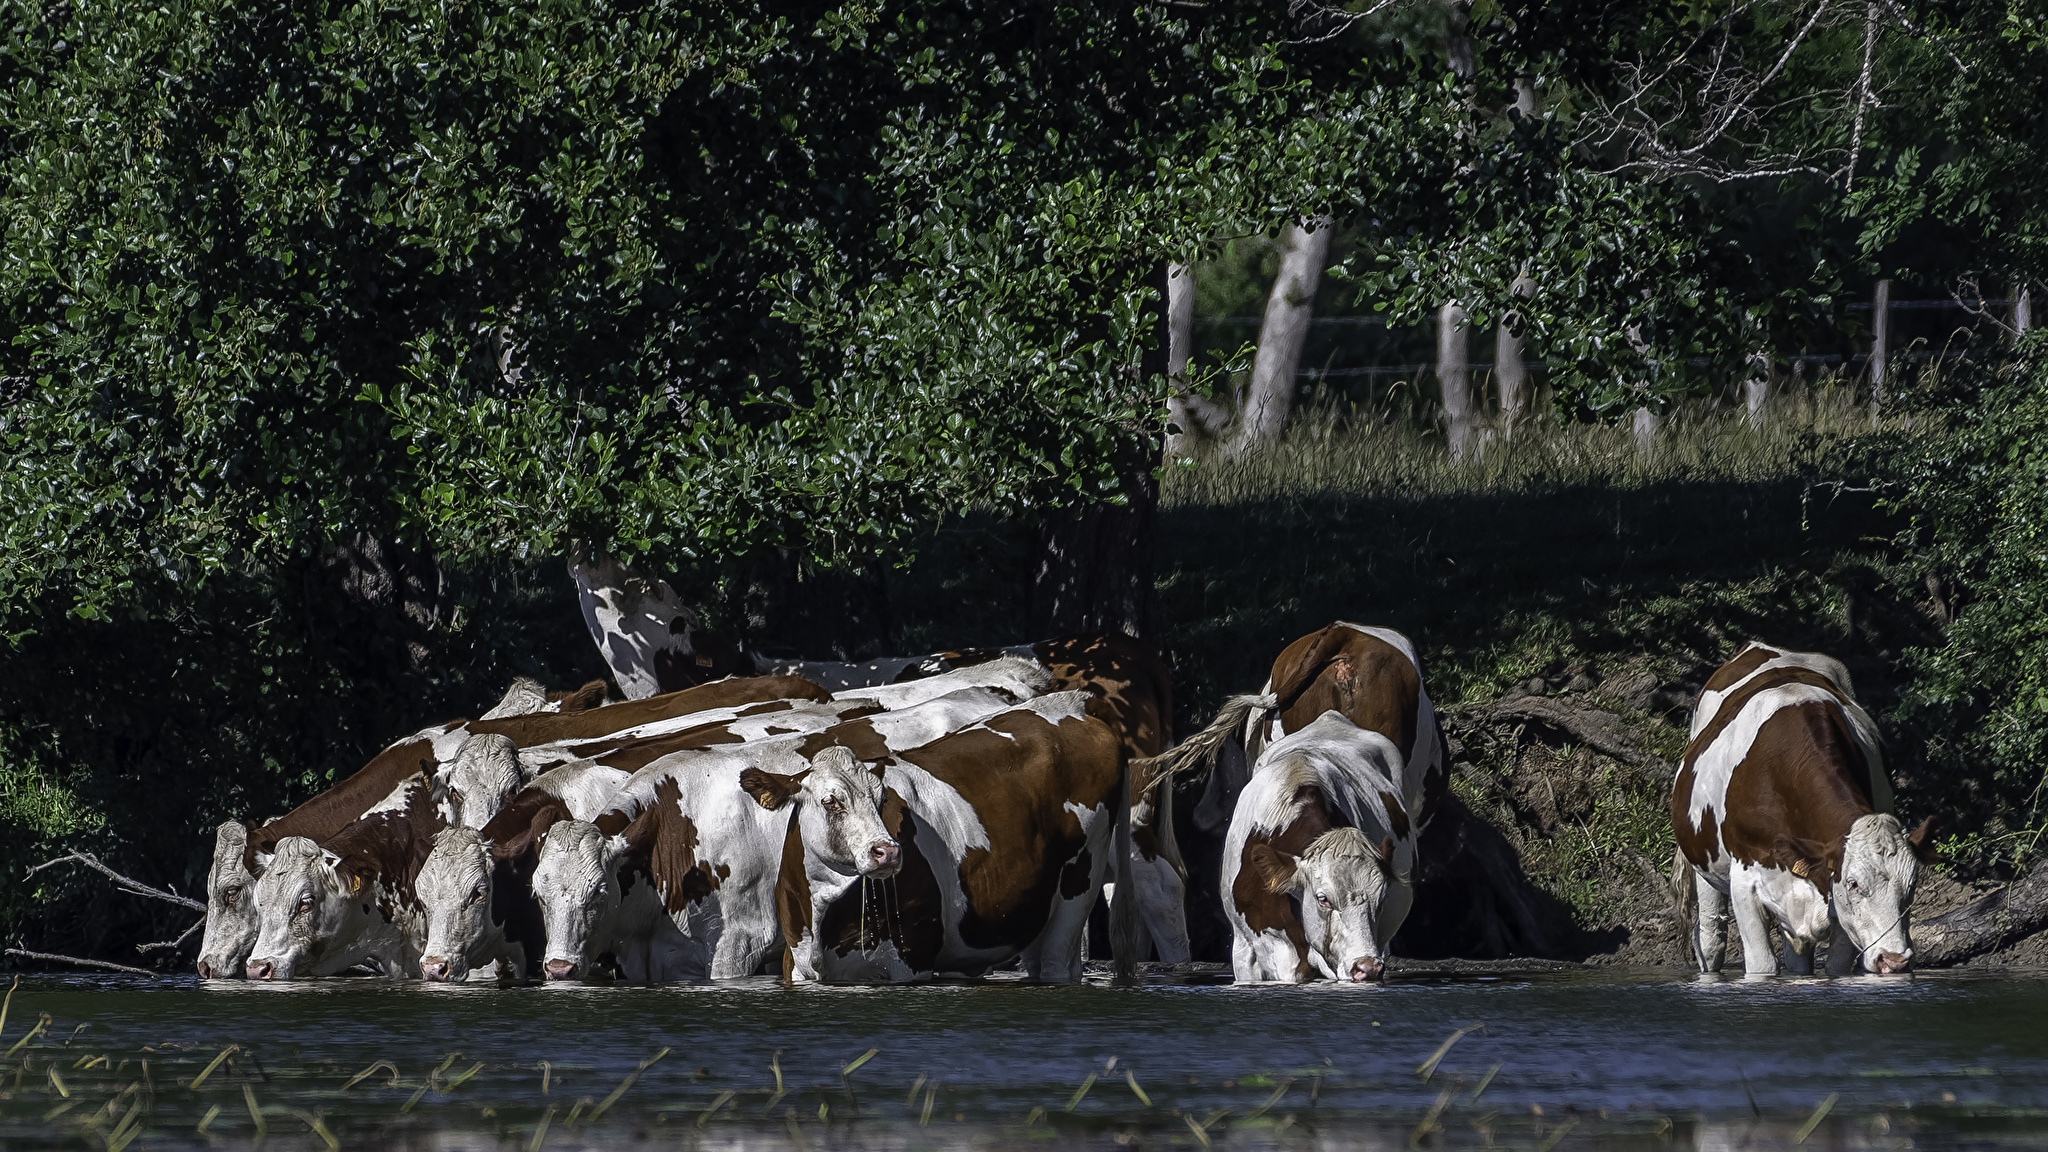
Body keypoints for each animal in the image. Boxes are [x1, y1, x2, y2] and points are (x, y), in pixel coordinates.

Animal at [757, 684, 1138, 983]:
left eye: (881, 799)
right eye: (830, 801)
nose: (888, 851)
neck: (821, 915)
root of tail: (1073, 703)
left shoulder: (912, 957)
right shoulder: (796, 965)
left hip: (1081, 879)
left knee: (1059, 961)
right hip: (1033, 907)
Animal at [1662, 639, 1933, 971]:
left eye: (1912, 885)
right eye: (1854, 883)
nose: (1894, 960)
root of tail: (1758, 647)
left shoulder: (1834, 901)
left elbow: (1836, 968)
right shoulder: (1743, 882)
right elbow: (1762, 964)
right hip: (1704, 861)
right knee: (1712, 939)